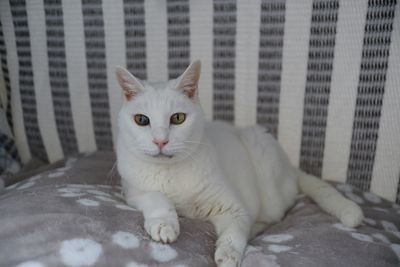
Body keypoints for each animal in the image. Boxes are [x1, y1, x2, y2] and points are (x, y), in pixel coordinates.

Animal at [115, 61, 362, 267]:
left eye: (177, 118)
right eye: (141, 120)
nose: (161, 141)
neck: (170, 172)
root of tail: (291, 167)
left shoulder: (233, 208)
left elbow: (234, 234)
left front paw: (228, 255)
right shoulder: (133, 191)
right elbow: (157, 198)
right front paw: (164, 226)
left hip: (263, 162)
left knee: (274, 215)